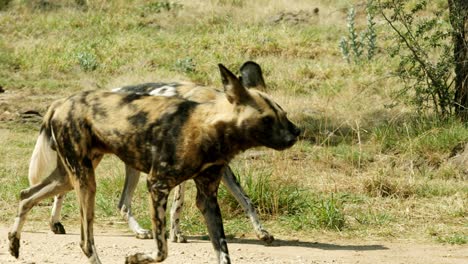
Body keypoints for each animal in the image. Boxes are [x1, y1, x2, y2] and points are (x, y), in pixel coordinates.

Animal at [12, 63, 302, 262]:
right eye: (267, 119)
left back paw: (15, 242)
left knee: (27, 195)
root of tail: (62, 101)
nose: (297, 132)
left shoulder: (209, 193)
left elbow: (231, 232)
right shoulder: (158, 185)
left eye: (285, 114)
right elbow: (163, 246)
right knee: (86, 238)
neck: (210, 122)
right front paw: (156, 246)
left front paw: (262, 232)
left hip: (72, 175)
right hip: (86, 179)